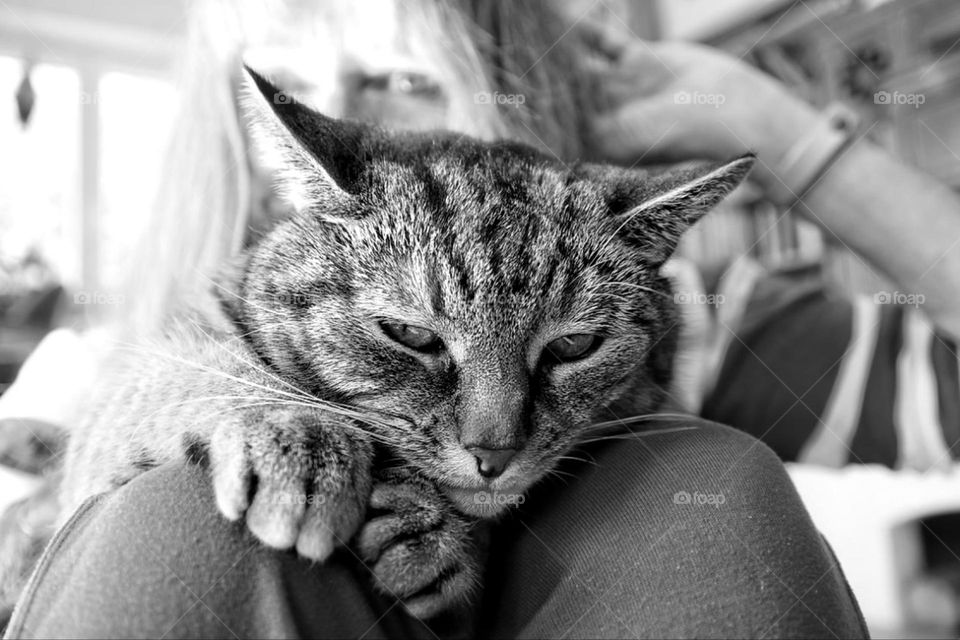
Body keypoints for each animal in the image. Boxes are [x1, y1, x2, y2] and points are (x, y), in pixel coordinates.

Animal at [0, 66, 752, 620]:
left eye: (574, 348)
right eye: (411, 335)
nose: (494, 453)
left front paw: (428, 538)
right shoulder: (138, 384)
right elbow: (205, 374)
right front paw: (301, 436)